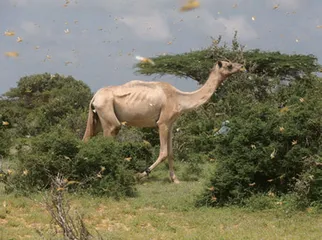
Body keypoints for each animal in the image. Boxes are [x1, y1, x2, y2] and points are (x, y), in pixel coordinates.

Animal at [82, 61, 245, 183]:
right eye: (229, 65)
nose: (242, 66)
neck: (179, 99)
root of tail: (94, 97)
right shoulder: (162, 123)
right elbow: (164, 152)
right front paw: (140, 174)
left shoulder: (171, 124)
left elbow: (171, 152)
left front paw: (175, 179)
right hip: (109, 118)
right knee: (107, 139)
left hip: (97, 120)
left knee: (86, 138)